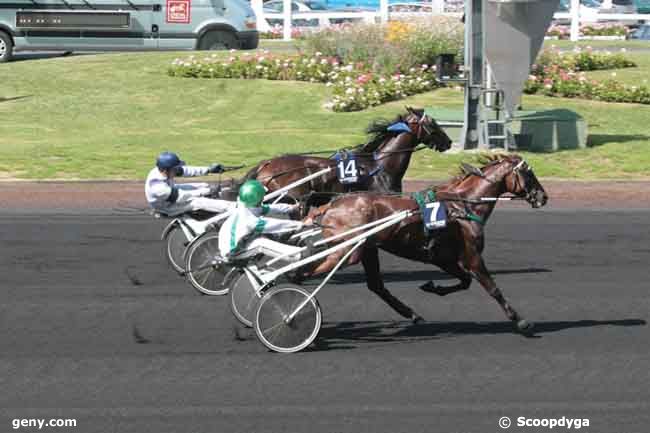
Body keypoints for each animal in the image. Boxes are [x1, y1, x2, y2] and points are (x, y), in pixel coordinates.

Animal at [302, 154, 548, 334]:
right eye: (528, 173)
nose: (543, 197)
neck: (463, 207)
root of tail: (331, 205)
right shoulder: (472, 256)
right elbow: (492, 288)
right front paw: (520, 321)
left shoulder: (444, 258)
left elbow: (465, 281)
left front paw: (432, 287)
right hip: (348, 249)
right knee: (307, 272)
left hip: (366, 249)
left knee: (376, 285)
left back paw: (412, 314)